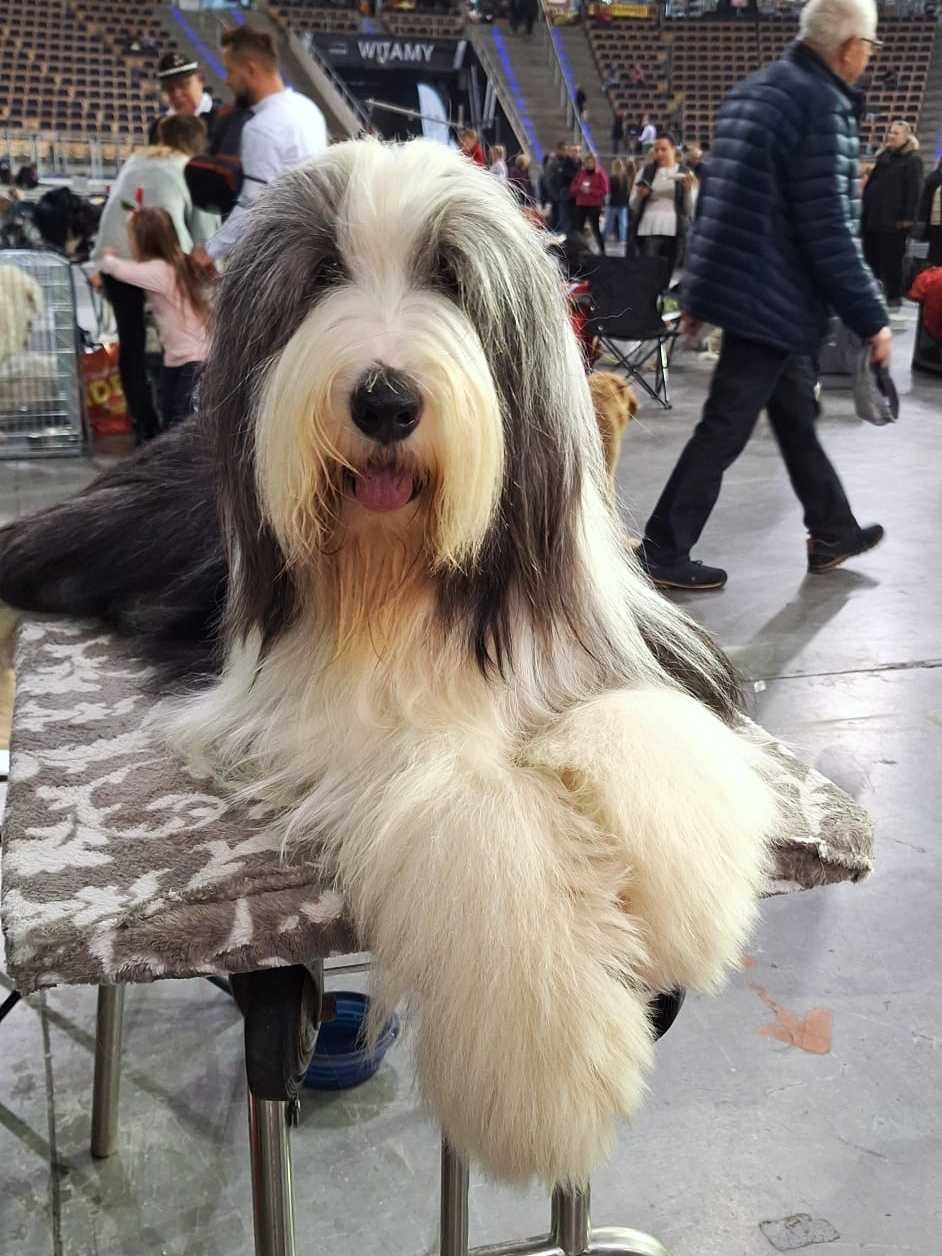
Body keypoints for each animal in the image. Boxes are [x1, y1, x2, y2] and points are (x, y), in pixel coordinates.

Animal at [0, 137, 783, 1185]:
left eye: (449, 276)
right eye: (322, 275)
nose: (384, 399)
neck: (402, 576)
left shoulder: (622, 641)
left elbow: (644, 711)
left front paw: (693, 894)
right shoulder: (286, 702)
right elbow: (460, 785)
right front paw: (549, 1056)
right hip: (86, 538)